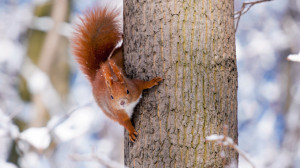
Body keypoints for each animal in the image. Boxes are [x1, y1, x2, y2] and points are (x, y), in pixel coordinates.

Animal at [72, 6, 163, 141]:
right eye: (111, 97)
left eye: (127, 91)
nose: (122, 102)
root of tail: (97, 75)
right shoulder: (116, 113)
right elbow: (124, 122)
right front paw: (131, 131)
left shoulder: (135, 87)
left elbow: (141, 83)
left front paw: (151, 82)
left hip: (119, 54)